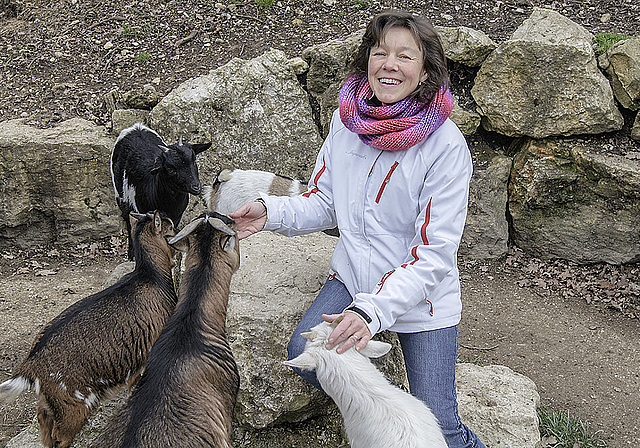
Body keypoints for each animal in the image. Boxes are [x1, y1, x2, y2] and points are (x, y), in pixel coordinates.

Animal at [0, 211, 179, 448]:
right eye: (171, 228)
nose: (180, 230)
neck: (151, 276)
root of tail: (30, 368)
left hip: (52, 404)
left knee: (43, 422)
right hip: (73, 405)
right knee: (60, 436)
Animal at [110, 122, 210, 260]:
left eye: (194, 160)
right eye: (170, 168)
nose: (196, 187)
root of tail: (135, 127)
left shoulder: (177, 217)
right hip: (120, 195)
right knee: (127, 220)